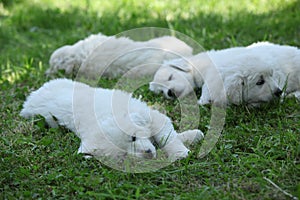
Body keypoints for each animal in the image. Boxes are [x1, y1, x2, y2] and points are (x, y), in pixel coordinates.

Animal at [20, 78, 204, 162]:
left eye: (133, 137)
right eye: (123, 156)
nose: (148, 155)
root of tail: (31, 97)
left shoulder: (152, 117)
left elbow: (168, 136)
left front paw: (182, 149)